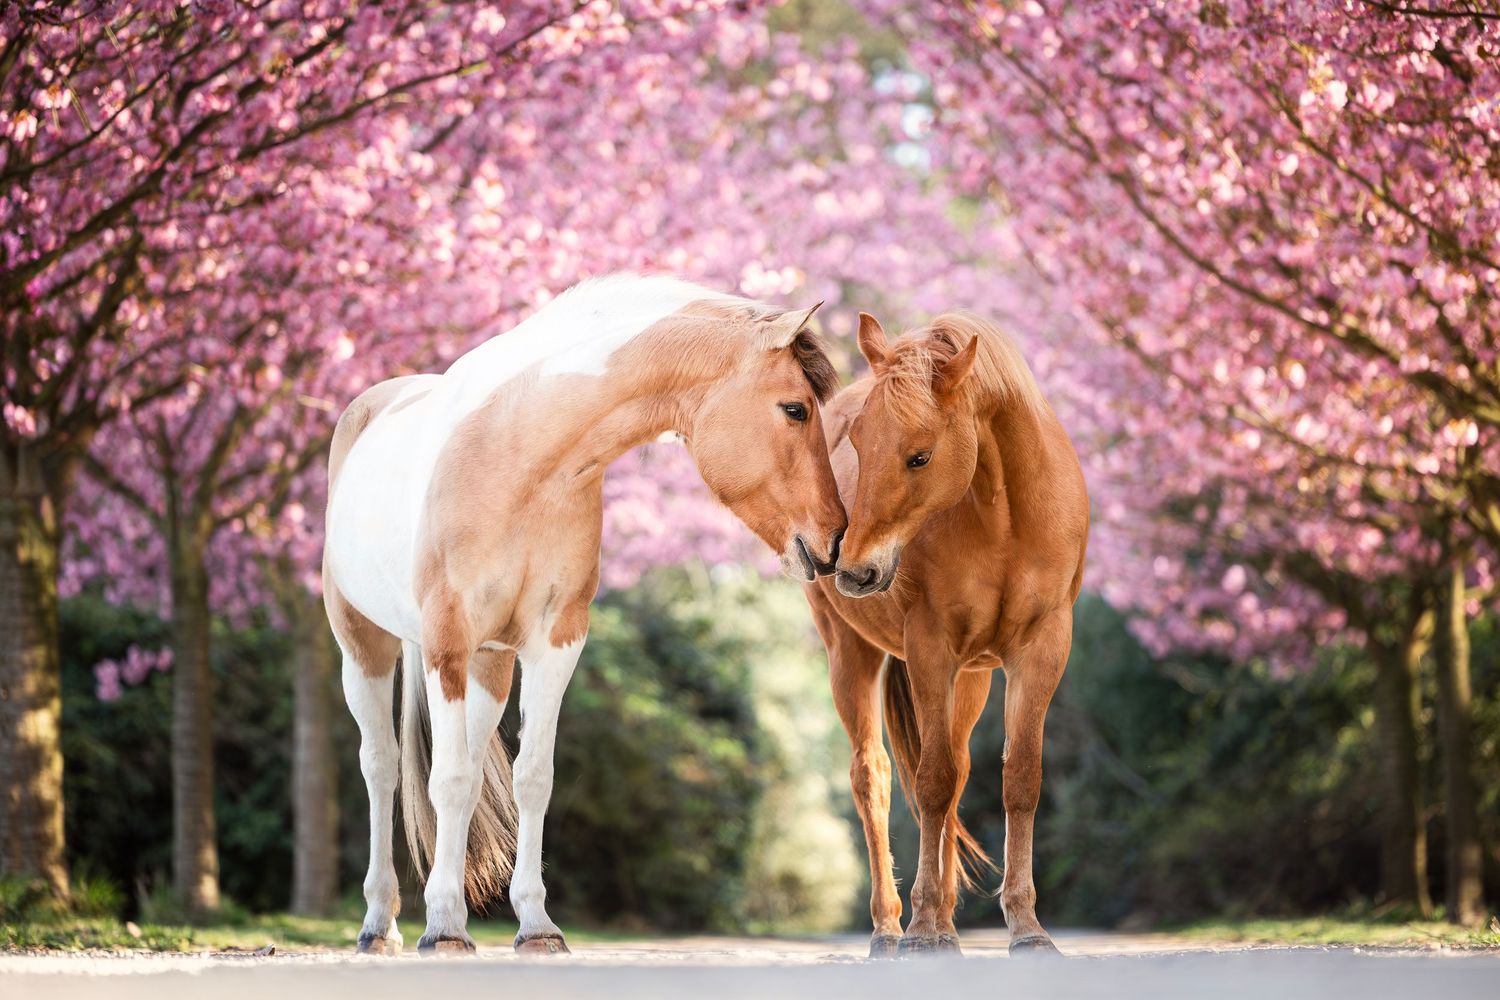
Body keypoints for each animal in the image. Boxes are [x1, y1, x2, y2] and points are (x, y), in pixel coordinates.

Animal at [322, 274, 847, 956]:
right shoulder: (446, 644)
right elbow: (448, 780)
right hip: (364, 646)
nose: (836, 538)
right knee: (381, 766)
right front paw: (441, 927)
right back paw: (379, 923)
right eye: (795, 409)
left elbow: (532, 778)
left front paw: (536, 926)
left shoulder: (556, 640)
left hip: (490, 666)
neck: (519, 455)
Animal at [803, 310, 1088, 957]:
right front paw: (921, 928)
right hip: (850, 654)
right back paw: (891, 928)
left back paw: (947, 925)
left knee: (956, 770)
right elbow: (930, 782)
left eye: (919, 457)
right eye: (859, 443)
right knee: (874, 778)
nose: (853, 570)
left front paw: (1027, 929)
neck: (1007, 517)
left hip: (974, 677)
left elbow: (1018, 777)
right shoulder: (931, 648)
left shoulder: (1041, 649)